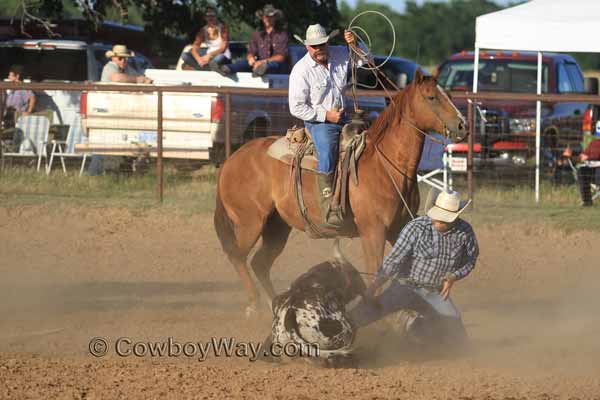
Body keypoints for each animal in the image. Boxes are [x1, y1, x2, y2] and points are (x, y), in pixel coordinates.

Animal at [213, 70, 466, 314]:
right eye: (431, 97)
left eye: (449, 95)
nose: (463, 125)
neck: (386, 165)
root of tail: (231, 160)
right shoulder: (373, 231)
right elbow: (376, 277)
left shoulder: (399, 229)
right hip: (250, 222)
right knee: (237, 256)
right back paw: (254, 306)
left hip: (277, 226)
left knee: (259, 263)